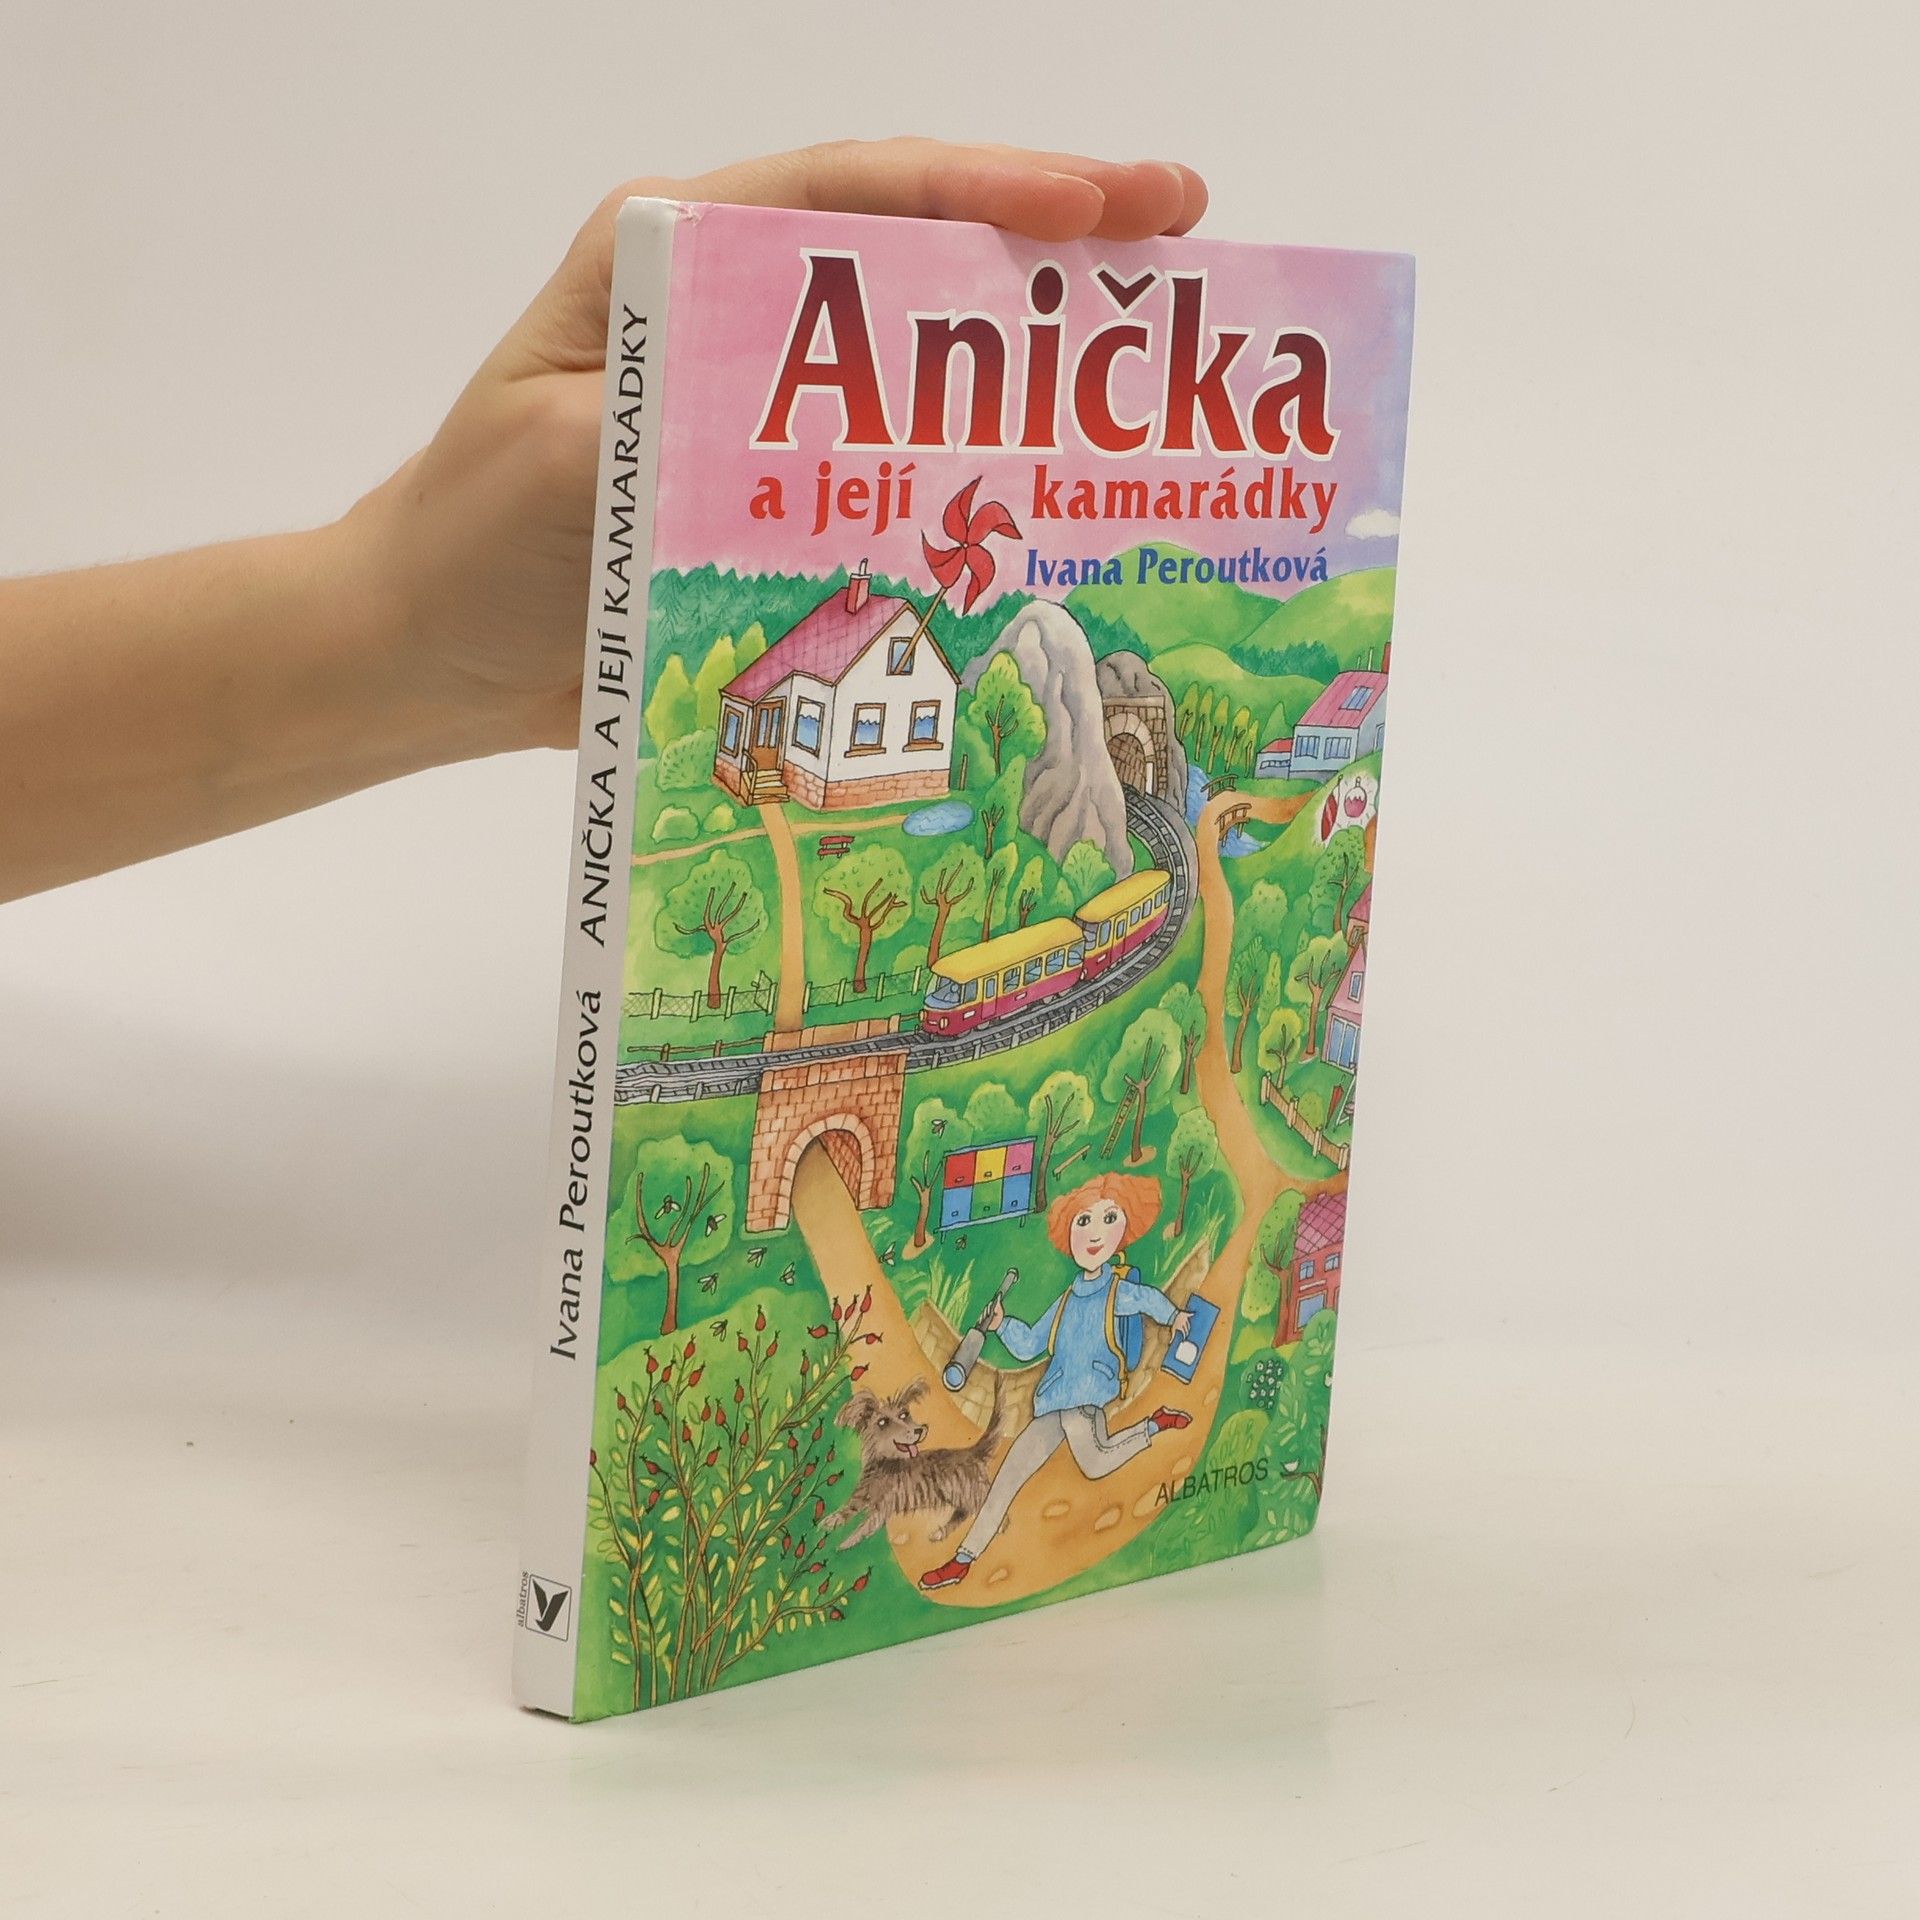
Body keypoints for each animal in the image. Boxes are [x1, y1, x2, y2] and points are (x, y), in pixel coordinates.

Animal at [825, 1375, 1005, 1550]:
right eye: (883, 1422)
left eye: (904, 1415)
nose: (919, 1429)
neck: (883, 1464)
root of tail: (972, 1452)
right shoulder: (861, 1496)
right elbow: (847, 1509)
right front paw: (831, 1521)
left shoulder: (882, 1509)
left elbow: (864, 1527)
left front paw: (845, 1543)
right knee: (961, 1514)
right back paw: (939, 1533)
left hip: (972, 1494)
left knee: (990, 1510)